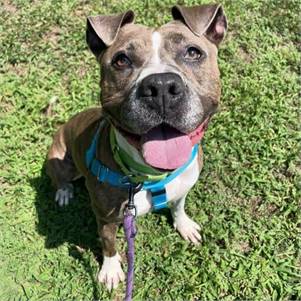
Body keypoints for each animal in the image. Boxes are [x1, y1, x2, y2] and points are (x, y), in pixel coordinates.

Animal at [46, 4, 225, 290]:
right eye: (121, 60)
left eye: (192, 52)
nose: (161, 86)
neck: (151, 177)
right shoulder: (106, 218)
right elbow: (108, 244)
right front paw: (110, 270)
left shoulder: (183, 188)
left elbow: (178, 206)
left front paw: (184, 225)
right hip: (60, 159)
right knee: (60, 178)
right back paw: (64, 192)